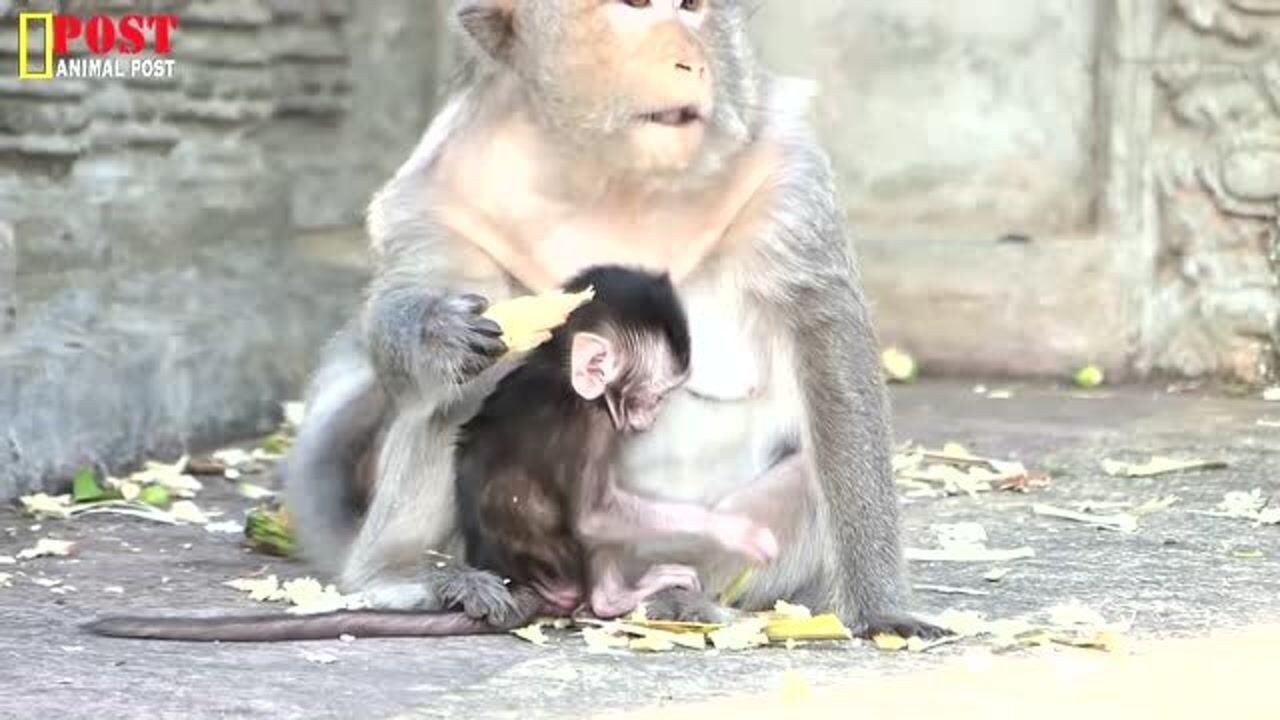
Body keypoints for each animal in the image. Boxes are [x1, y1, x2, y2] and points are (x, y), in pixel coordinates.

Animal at [460, 263, 778, 617]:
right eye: (654, 397)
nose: (652, 417)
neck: (560, 373)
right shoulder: (591, 423)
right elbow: (593, 517)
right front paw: (728, 529)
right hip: (559, 569)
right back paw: (611, 599)